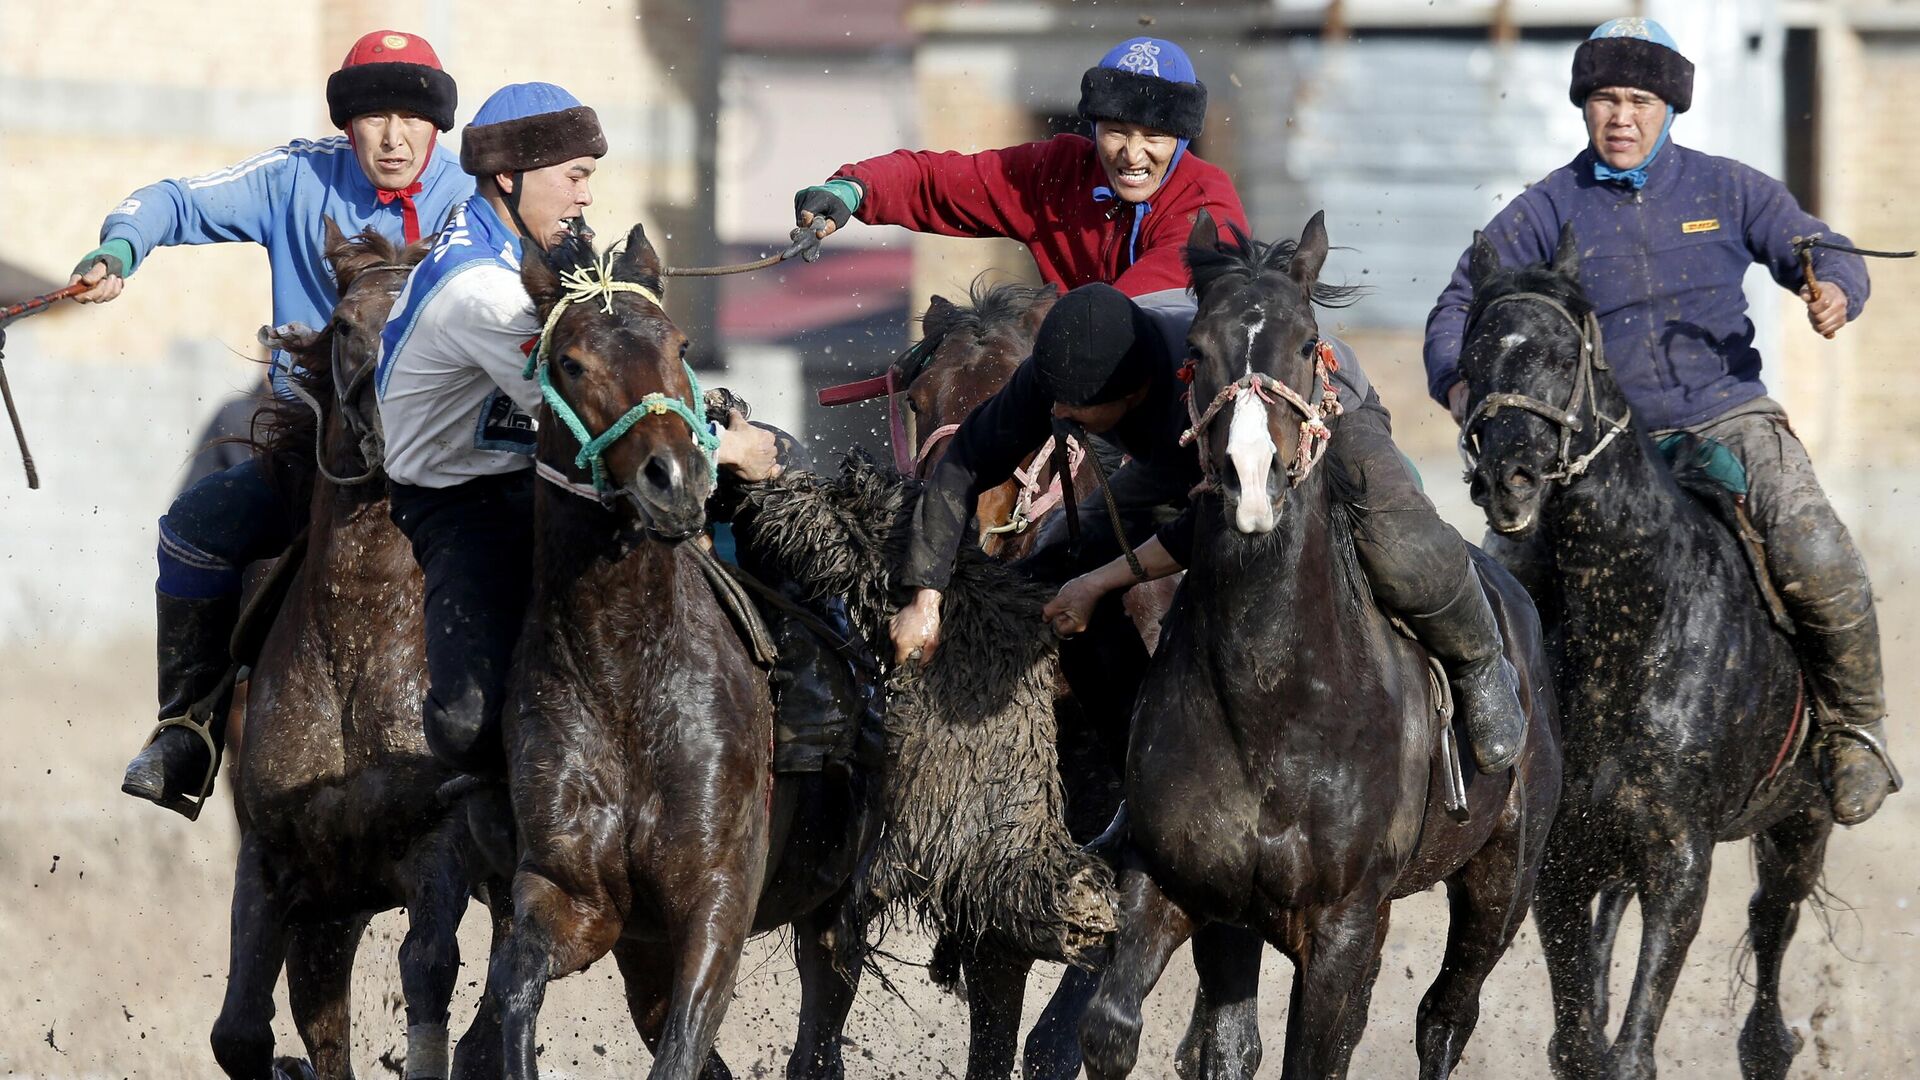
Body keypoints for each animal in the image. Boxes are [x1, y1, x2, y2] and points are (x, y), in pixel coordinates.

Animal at [212, 220, 510, 1076]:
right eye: (345, 325)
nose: (389, 416)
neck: (359, 631)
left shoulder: (442, 845)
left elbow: (429, 969)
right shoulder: (281, 861)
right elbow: (243, 1030)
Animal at [476, 220, 875, 1076]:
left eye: (679, 343)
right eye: (571, 361)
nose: (675, 479)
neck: (626, 673)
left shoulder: (717, 899)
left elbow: (684, 1048)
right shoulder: (578, 896)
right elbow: (518, 989)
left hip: (835, 904)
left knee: (821, 1026)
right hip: (647, 954)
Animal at [1082, 212, 1559, 1076]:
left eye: (1308, 342)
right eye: (1196, 348)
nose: (1251, 477)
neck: (1272, 701)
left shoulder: (1347, 926)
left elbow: (1317, 1052)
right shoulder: (1177, 883)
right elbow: (1115, 1027)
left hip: (1504, 880)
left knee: (1447, 1015)